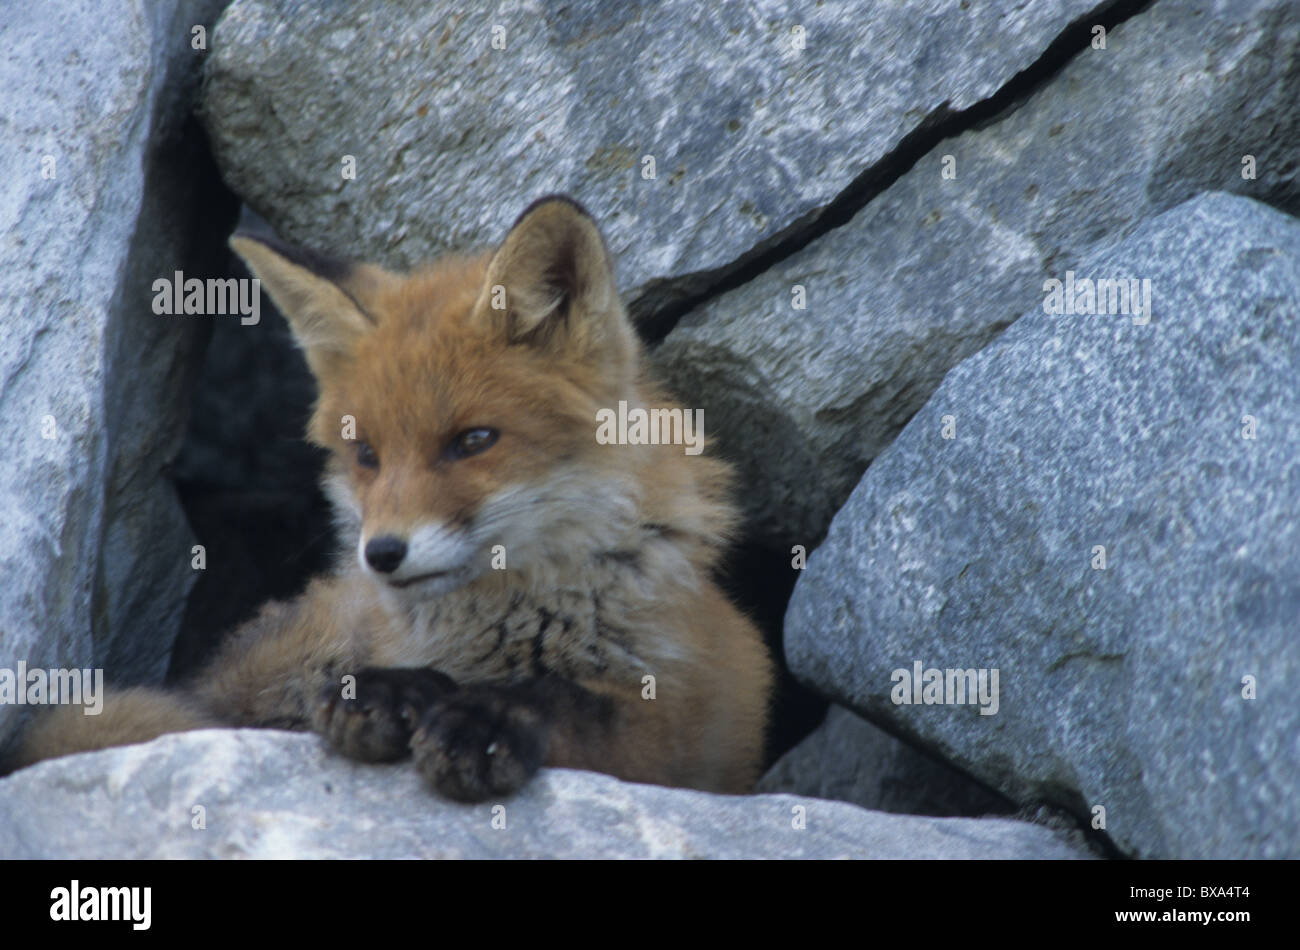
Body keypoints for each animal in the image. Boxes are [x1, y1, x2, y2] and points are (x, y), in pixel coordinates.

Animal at [10, 197, 769, 800]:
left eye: (473, 441)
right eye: (367, 455)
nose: (381, 553)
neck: (512, 622)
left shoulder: (678, 727)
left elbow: (568, 702)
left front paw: (487, 721)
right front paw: (399, 692)